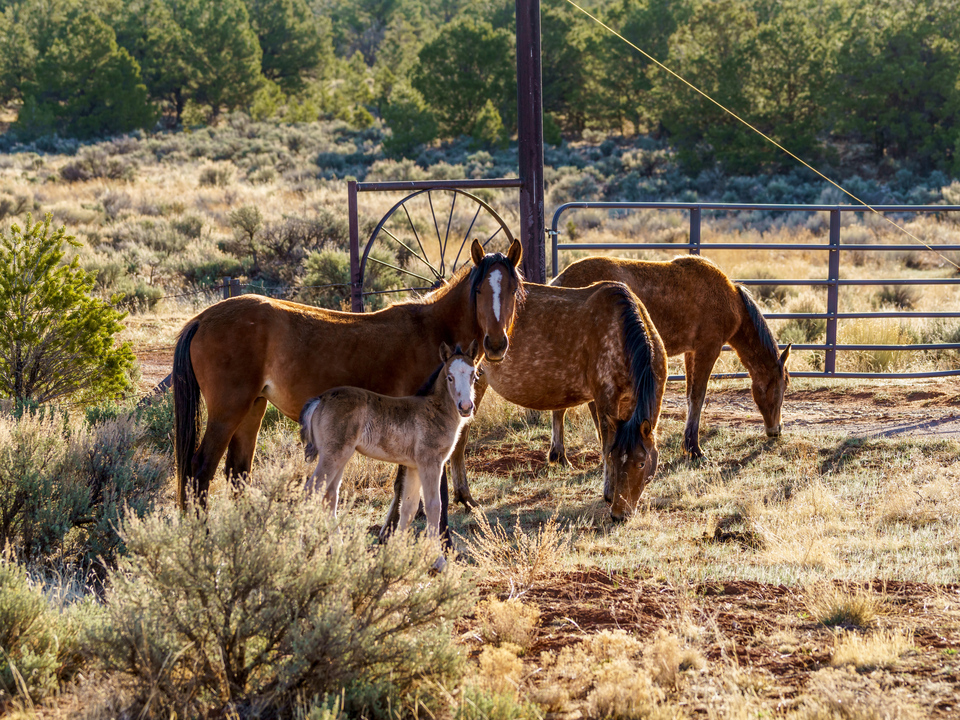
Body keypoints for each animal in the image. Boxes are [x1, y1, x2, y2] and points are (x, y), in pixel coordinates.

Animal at [173, 238, 523, 509]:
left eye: (512, 290)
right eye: (479, 291)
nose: (495, 344)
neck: (431, 329)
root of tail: (202, 319)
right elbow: (412, 487)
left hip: (252, 409)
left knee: (238, 472)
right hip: (228, 410)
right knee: (200, 470)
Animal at [301, 341, 480, 546]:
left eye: (474, 375)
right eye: (450, 377)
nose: (465, 407)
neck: (435, 410)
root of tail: (320, 399)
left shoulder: (414, 466)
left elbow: (408, 507)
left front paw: (398, 549)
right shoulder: (430, 462)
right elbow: (434, 506)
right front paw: (435, 553)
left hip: (340, 455)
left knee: (330, 496)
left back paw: (338, 546)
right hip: (333, 455)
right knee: (310, 492)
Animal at [384, 280, 668, 525]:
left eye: (641, 463)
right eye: (620, 460)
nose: (620, 514)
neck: (620, 331)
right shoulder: (604, 398)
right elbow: (606, 439)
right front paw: (608, 491)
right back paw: (453, 500)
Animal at [550, 255, 790, 460]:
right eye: (784, 384)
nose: (776, 430)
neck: (730, 299)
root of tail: (559, 280)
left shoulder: (691, 352)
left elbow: (690, 396)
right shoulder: (708, 348)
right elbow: (698, 396)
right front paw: (694, 448)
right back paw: (562, 453)